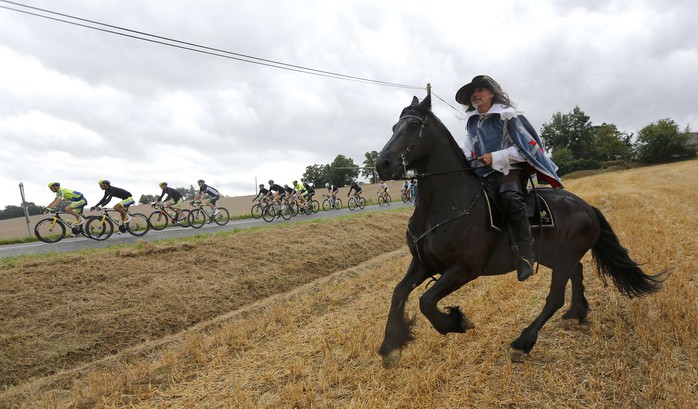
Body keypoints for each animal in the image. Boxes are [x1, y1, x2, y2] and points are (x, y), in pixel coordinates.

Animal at [372, 95, 660, 366]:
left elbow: (427, 301)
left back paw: (523, 343)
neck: (447, 205)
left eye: (412, 126)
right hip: (556, 257)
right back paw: (575, 313)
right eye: (394, 126)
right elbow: (398, 293)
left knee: (554, 298)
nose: (382, 164)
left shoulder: (464, 269)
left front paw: (456, 322)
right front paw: (390, 346)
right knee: (576, 273)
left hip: (562, 259)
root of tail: (587, 206)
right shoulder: (422, 264)